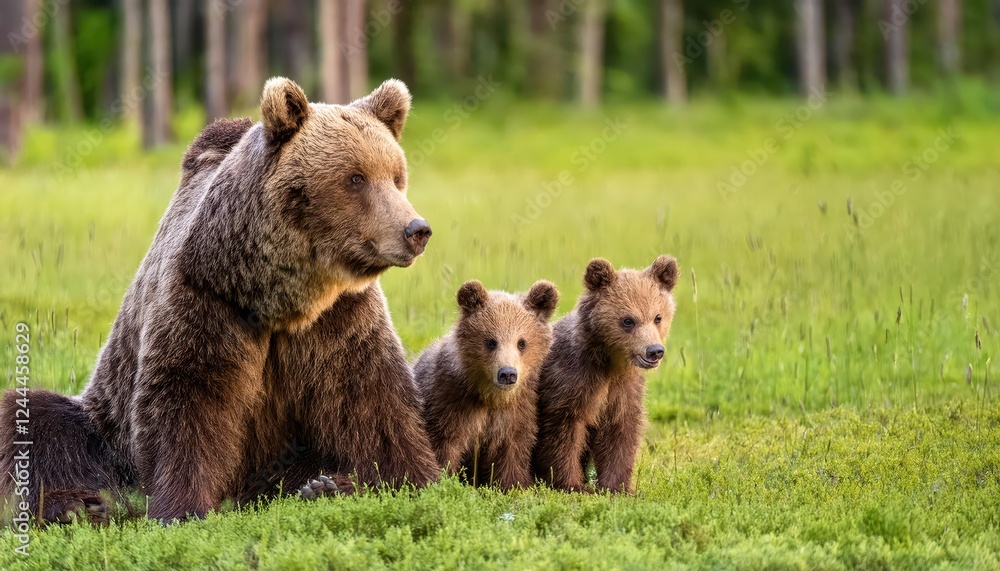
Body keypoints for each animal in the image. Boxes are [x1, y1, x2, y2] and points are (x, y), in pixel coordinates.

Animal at [0, 77, 440, 524]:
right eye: (355, 178)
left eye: (397, 176)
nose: (416, 229)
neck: (277, 300)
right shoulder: (206, 299)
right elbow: (187, 399)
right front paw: (183, 509)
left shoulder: (339, 318)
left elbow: (370, 398)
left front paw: (407, 477)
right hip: (105, 428)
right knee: (34, 423)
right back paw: (80, 505)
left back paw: (324, 485)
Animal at [414, 279, 558, 490]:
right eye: (491, 342)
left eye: (521, 343)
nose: (508, 374)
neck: (489, 396)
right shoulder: (450, 405)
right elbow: (445, 447)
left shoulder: (515, 413)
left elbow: (512, 452)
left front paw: (514, 484)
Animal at [533, 255, 679, 494]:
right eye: (628, 320)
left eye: (658, 317)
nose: (654, 351)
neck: (610, 365)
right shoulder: (569, 383)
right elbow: (563, 434)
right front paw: (572, 484)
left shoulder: (622, 391)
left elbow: (619, 434)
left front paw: (617, 487)